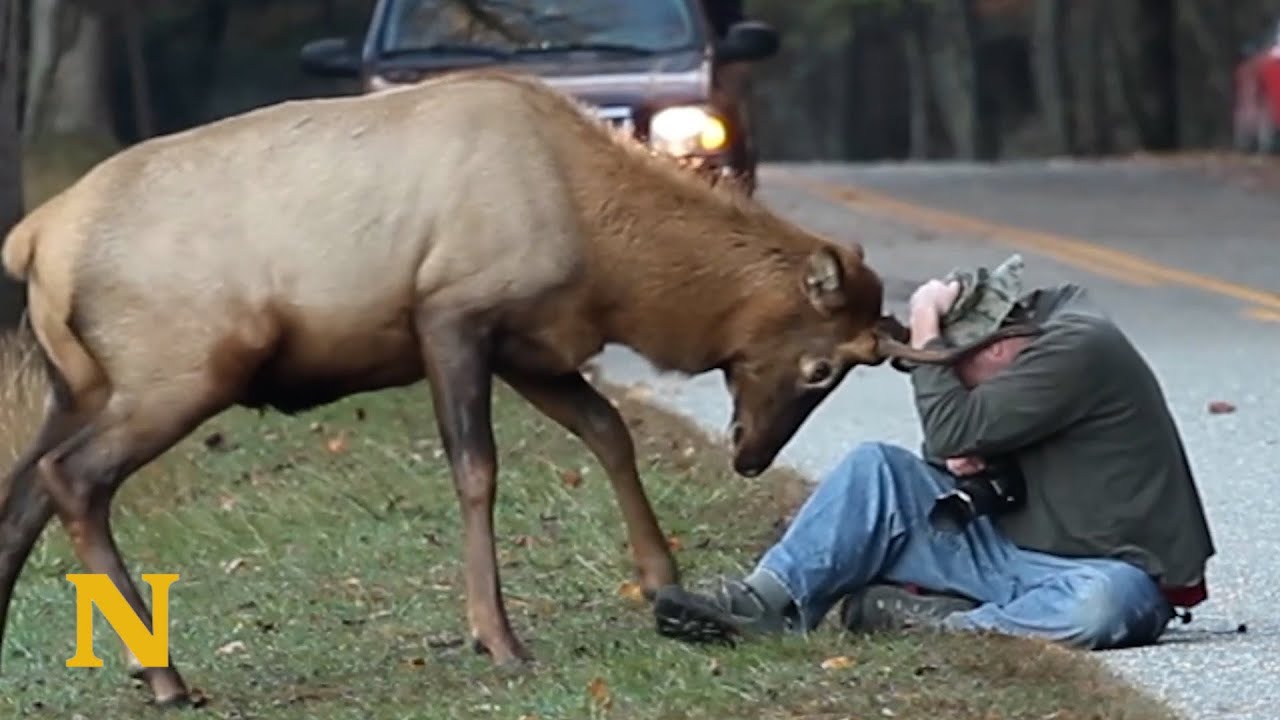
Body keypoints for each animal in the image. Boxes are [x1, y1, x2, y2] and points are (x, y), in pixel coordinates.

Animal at [0, 69, 956, 707]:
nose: (750, 456)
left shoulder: (531, 345)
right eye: (820, 365)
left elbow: (608, 431)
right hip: (180, 366)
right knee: (71, 480)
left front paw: (661, 580)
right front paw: (497, 636)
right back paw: (163, 671)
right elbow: (476, 470)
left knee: (21, 492)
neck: (610, 262)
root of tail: (35, 240)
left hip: (77, 386)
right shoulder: (453, 314)